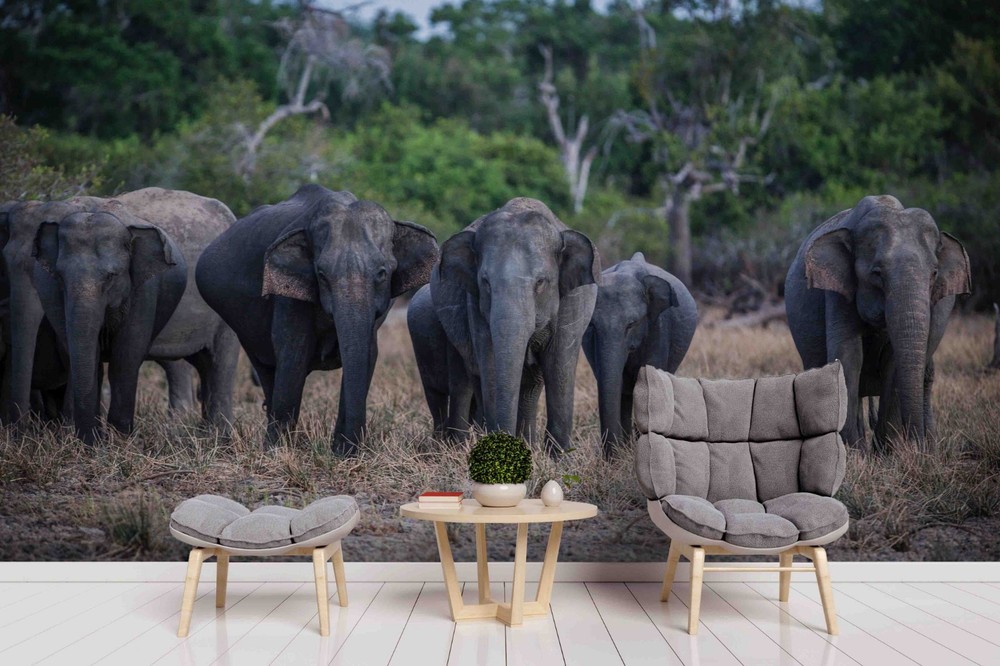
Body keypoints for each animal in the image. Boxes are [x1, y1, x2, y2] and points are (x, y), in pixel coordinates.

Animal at [32, 188, 240, 443]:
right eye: (60, 276)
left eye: (112, 276)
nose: (93, 441)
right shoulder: (48, 288)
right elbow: (79, 354)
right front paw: (83, 439)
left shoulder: (146, 287)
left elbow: (125, 356)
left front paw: (119, 440)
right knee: (202, 364)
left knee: (221, 363)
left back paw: (220, 438)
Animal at [195, 185, 439, 454]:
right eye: (321, 274)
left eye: (382, 273)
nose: (351, 449)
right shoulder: (289, 297)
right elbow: (294, 355)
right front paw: (278, 452)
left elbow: (368, 354)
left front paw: (343, 453)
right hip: (242, 327)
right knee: (267, 370)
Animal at [429, 197, 601, 455]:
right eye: (485, 282)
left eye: (540, 282)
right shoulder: (476, 306)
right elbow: (490, 363)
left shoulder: (573, 299)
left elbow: (559, 364)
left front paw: (559, 458)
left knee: (531, 386)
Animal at [785, 195, 972, 452]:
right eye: (877, 273)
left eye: (934, 273)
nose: (916, 445)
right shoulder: (838, 290)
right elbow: (848, 354)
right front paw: (854, 453)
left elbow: (894, 361)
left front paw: (887, 453)